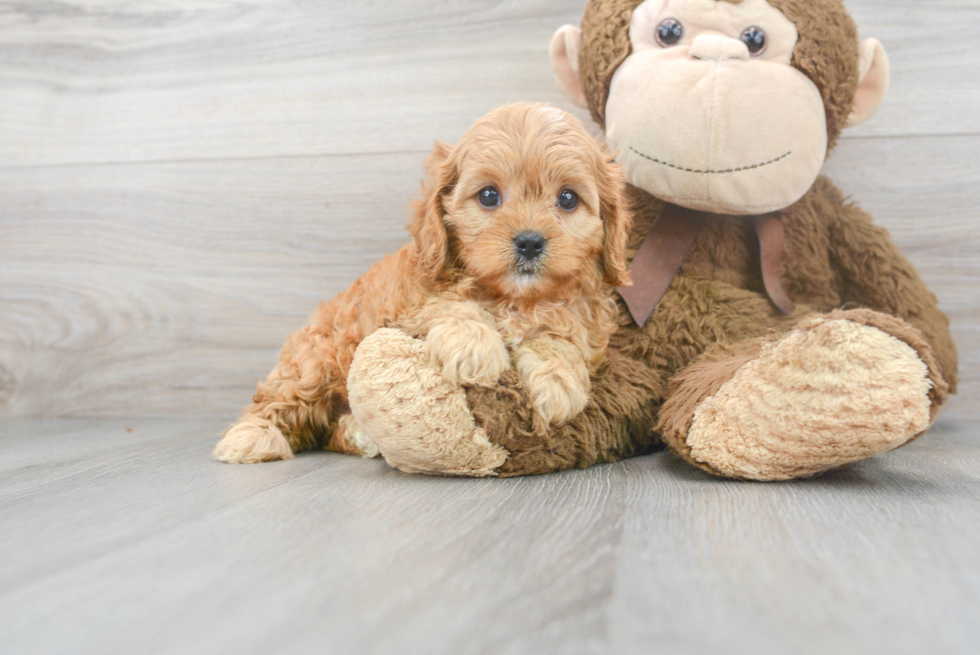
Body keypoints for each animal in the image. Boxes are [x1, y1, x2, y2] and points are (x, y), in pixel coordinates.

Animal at [211, 101, 632, 466]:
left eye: (568, 199)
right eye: (489, 195)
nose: (529, 241)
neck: (514, 298)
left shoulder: (584, 313)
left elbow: (564, 335)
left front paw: (558, 380)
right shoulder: (405, 307)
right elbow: (449, 305)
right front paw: (475, 347)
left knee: (330, 431)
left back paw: (358, 433)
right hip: (313, 363)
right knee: (279, 401)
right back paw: (252, 437)